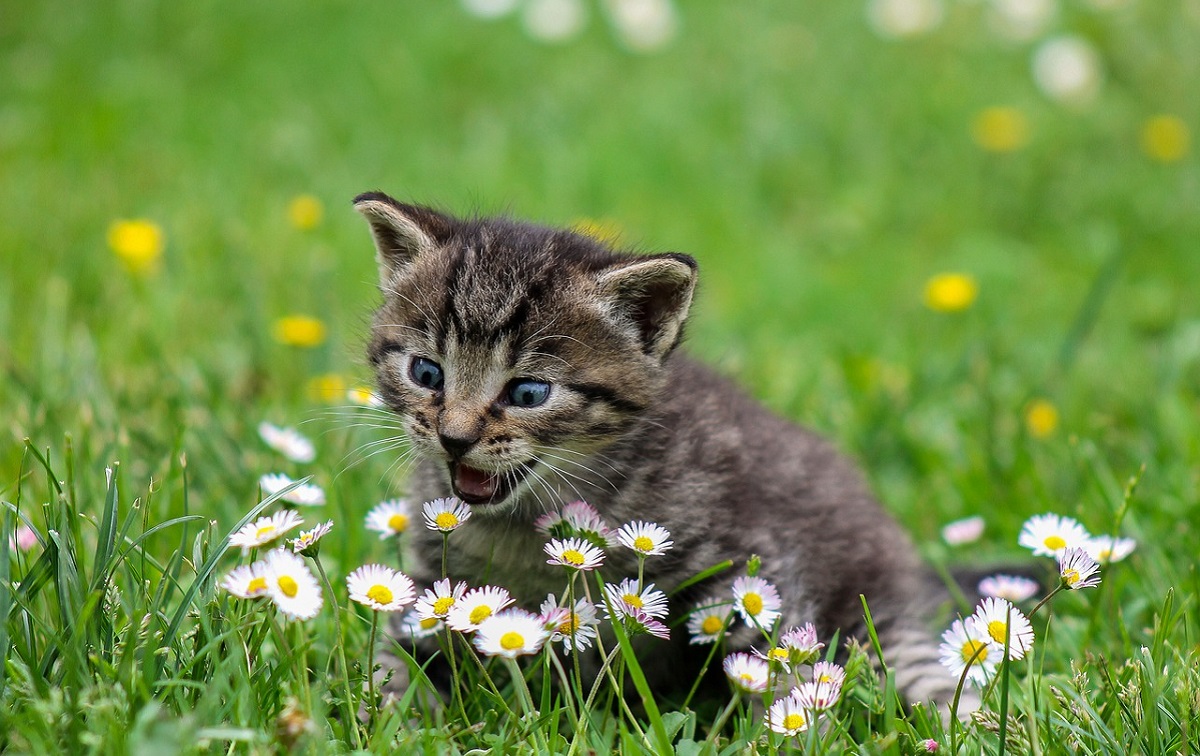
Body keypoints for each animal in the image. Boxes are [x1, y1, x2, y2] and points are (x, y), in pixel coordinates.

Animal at [357, 192, 964, 710]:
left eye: (528, 393)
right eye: (426, 373)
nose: (454, 437)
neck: (523, 525)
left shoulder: (752, 566)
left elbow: (771, 666)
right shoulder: (432, 588)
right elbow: (394, 660)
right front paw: (392, 711)